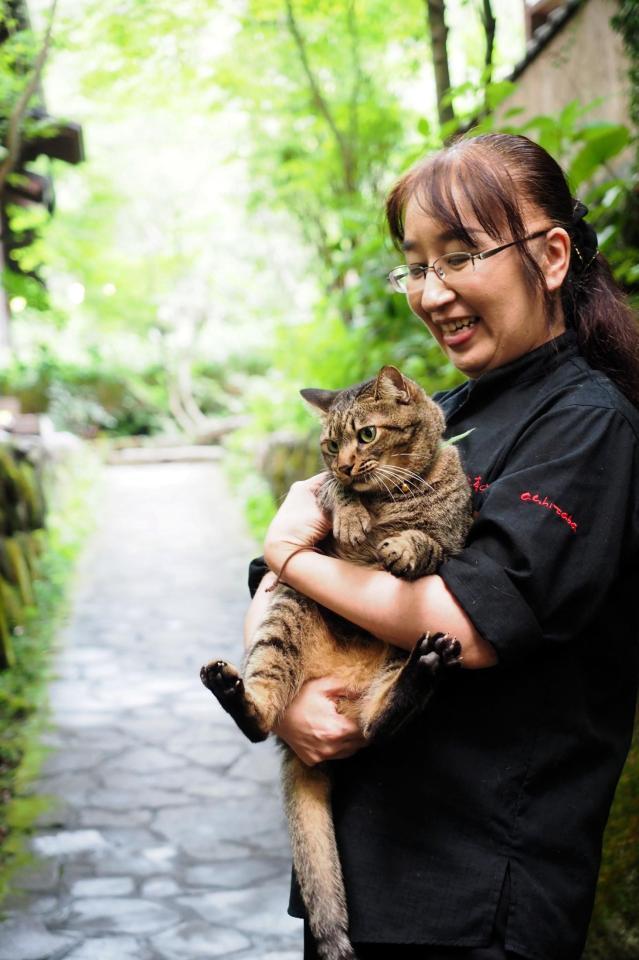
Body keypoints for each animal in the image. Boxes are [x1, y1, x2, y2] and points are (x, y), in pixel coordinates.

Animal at [200, 368, 476, 960]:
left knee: (377, 722)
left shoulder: (453, 544)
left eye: (367, 435)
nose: (347, 463)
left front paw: (404, 545)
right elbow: (331, 493)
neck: (392, 499)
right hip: (286, 610)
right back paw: (234, 692)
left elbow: (428, 543)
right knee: (263, 715)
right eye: (330, 445)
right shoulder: (317, 491)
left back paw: (423, 668)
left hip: (402, 644)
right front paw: (350, 511)